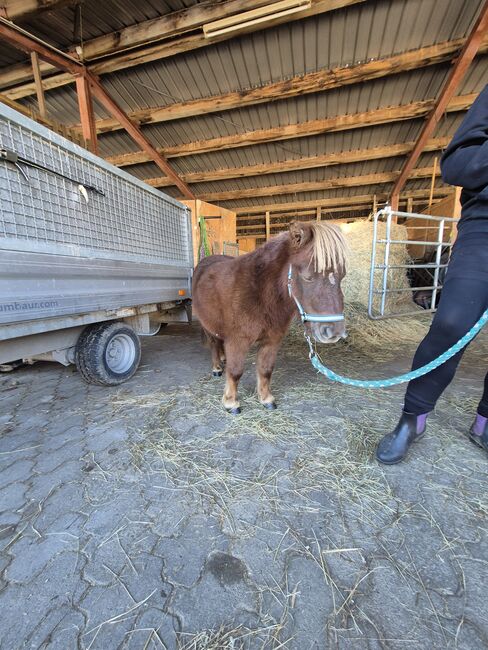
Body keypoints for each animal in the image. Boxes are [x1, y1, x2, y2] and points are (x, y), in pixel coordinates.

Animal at [191, 220, 346, 412]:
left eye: (342, 276)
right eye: (307, 277)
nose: (334, 332)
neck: (261, 294)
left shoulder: (272, 341)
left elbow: (265, 370)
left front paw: (266, 399)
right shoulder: (237, 341)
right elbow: (235, 372)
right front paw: (231, 402)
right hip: (207, 326)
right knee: (214, 344)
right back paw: (217, 367)